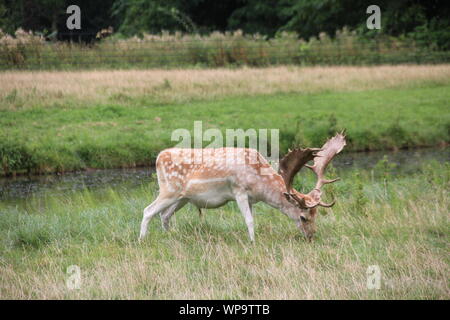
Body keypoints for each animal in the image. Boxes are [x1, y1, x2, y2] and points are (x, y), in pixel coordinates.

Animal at [139, 132, 346, 240]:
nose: (311, 235)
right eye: (303, 217)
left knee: (164, 215)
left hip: (183, 198)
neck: (259, 182)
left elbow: (252, 219)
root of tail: (158, 157)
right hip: (168, 190)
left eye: (316, 214)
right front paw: (253, 242)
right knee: (148, 210)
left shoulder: (252, 199)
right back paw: (142, 240)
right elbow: (249, 220)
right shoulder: (239, 191)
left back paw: (169, 236)